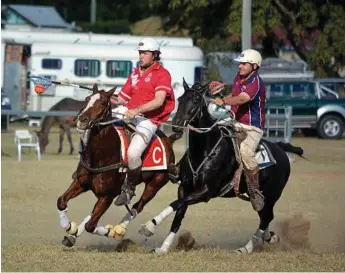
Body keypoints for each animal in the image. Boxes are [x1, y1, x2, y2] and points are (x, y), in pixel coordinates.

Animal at [55, 83, 180, 246]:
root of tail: (168, 141)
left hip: (155, 184)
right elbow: (61, 201)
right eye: (87, 99)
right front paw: (69, 227)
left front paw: (112, 232)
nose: (82, 119)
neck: (100, 156)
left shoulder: (108, 195)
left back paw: (122, 227)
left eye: (102, 102)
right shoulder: (81, 183)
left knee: (138, 206)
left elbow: (91, 226)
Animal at [138, 78, 304, 253]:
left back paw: (246, 248)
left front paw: (150, 225)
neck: (205, 150)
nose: (176, 124)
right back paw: (268, 237)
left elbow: (175, 204)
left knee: (266, 217)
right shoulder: (185, 188)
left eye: (196, 100)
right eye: (180, 99)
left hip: (272, 194)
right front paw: (163, 248)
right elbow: (178, 214)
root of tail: (281, 149)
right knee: (264, 216)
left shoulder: (206, 191)